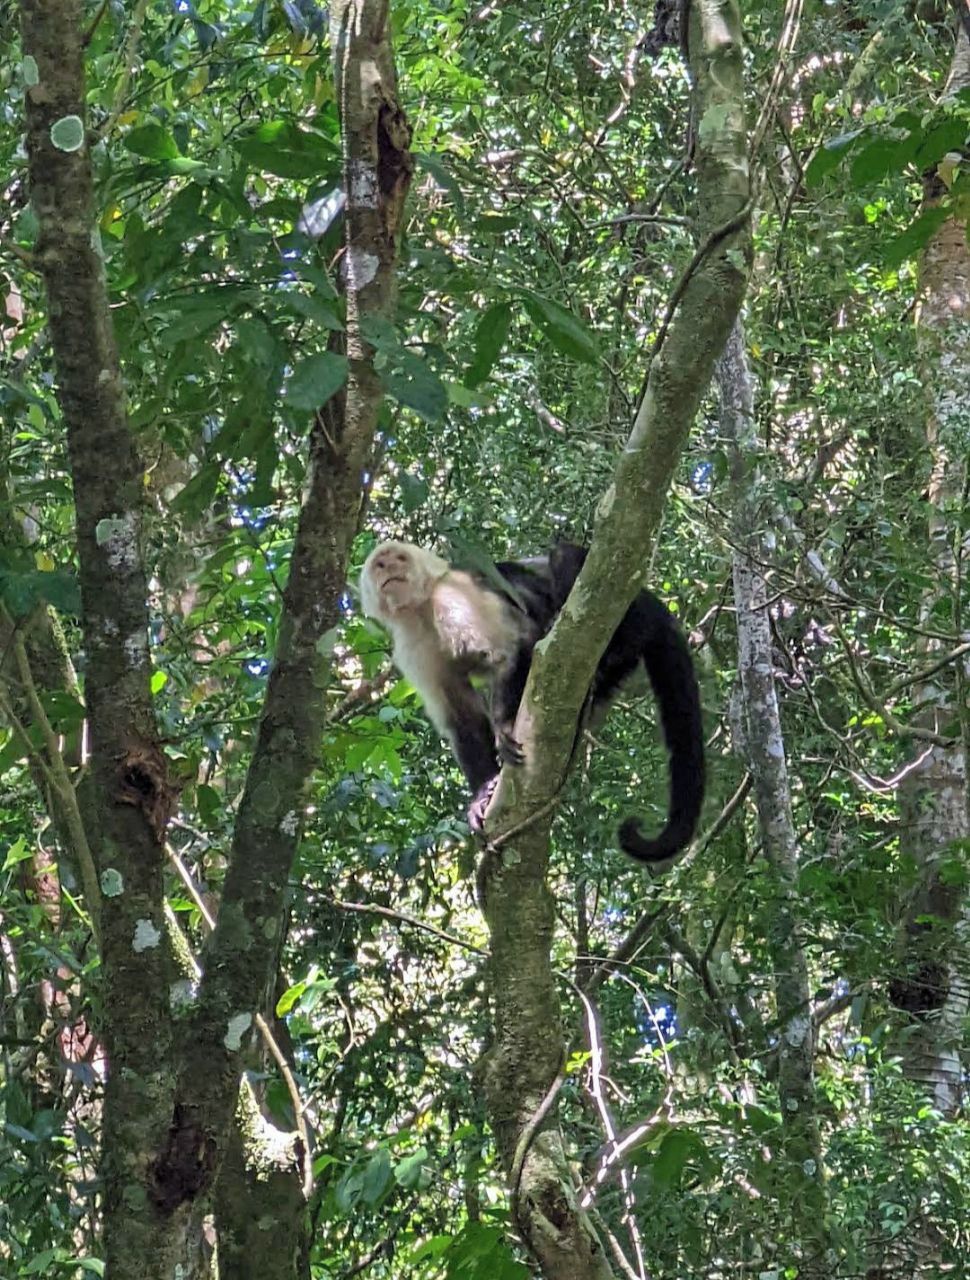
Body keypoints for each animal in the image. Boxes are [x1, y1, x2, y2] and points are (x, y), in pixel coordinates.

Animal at [359, 538, 704, 863]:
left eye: (400, 558)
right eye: (380, 564)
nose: (390, 568)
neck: (420, 607)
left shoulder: (453, 598)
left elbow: (516, 647)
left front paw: (505, 726)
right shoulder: (411, 645)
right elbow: (462, 719)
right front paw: (483, 793)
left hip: (632, 617)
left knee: (564, 560)